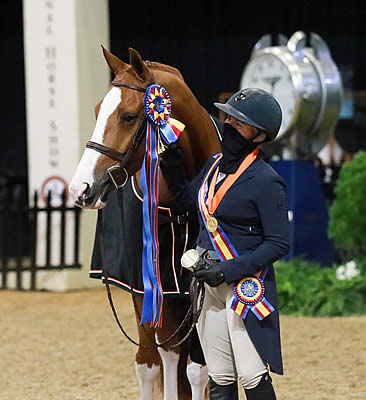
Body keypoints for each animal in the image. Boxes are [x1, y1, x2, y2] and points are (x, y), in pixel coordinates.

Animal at [69, 47, 222, 400]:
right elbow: (163, 360)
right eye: (97, 110)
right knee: (153, 360)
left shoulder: (200, 286)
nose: (80, 187)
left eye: (128, 116)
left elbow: (198, 370)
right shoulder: (152, 288)